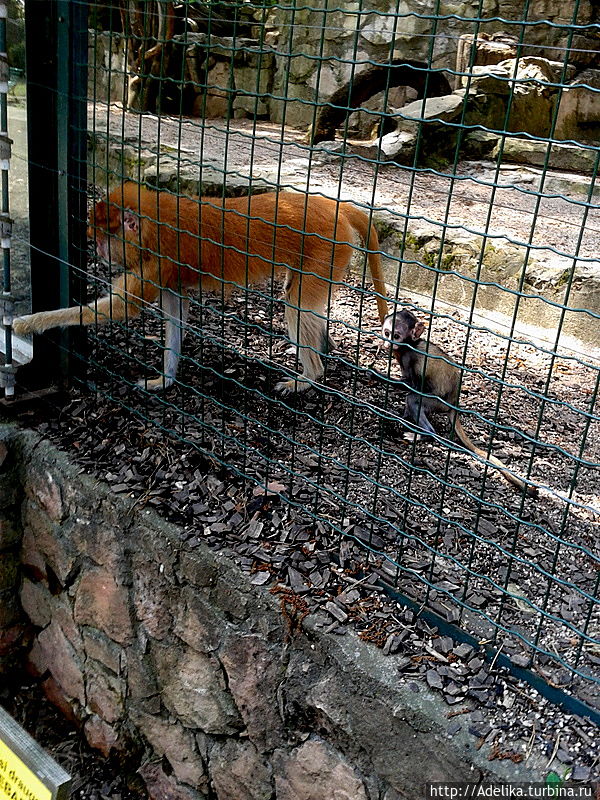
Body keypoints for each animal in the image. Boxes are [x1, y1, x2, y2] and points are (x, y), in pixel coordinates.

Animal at [384, 310, 540, 496]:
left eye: (396, 336)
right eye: (387, 333)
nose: (388, 342)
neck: (411, 344)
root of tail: (454, 401)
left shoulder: (410, 357)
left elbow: (413, 386)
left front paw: (375, 374)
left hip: (439, 403)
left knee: (414, 399)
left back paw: (425, 434)